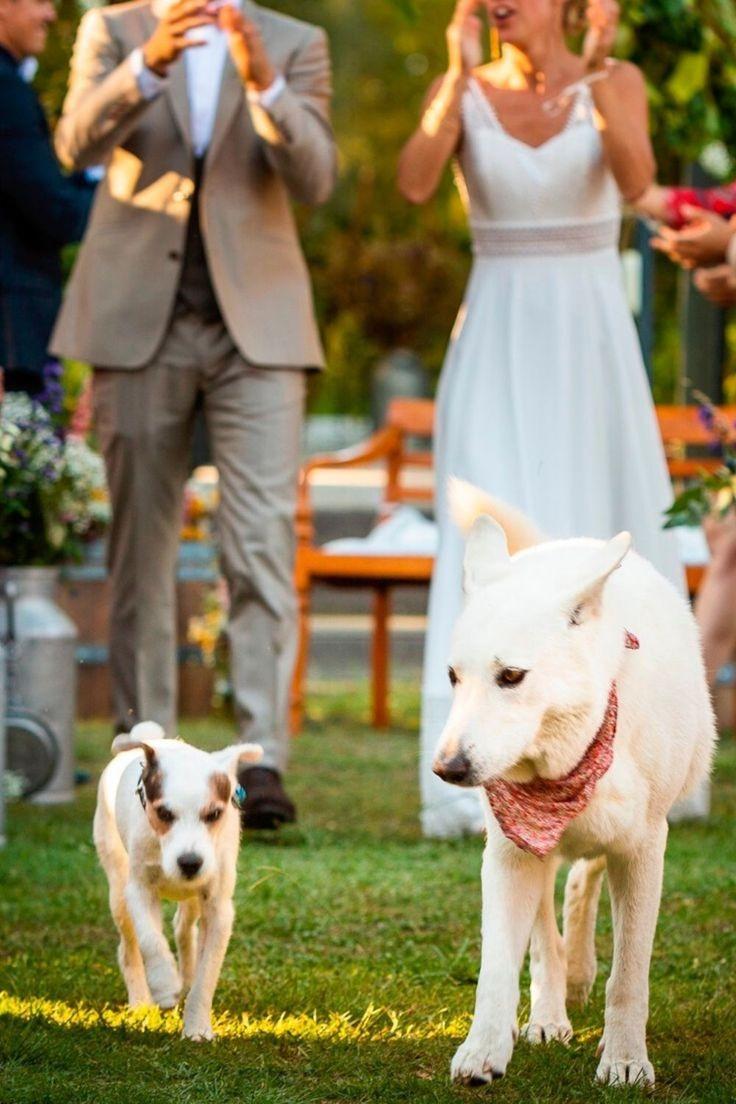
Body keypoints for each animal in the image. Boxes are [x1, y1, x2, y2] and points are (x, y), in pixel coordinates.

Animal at [93, 719, 261, 1037]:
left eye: (214, 814)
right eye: (163, 813)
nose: (190, 863)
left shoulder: (218, 906)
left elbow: (208, 973)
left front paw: (197, 1027)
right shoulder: (139, 890)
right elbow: (150, 939)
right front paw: (164, 983)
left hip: (195, 896)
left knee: (184, 927)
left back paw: (187, 974)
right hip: (117, 886)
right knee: (129, 947)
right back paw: (141, 1001)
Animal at [434, 481, 715, 1086]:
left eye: (511, 676)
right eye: (452, 676)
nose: (446, 769)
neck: (565, 765)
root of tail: (568, 548)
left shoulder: (643, 849)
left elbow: (629, 974)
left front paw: (626, 1059)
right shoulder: (509, 853)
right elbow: (500, 968)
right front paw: (484, 1050)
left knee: (584, 878)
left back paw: (582, 977)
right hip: (534, 855)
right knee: (549, 927)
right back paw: (550, 1012)